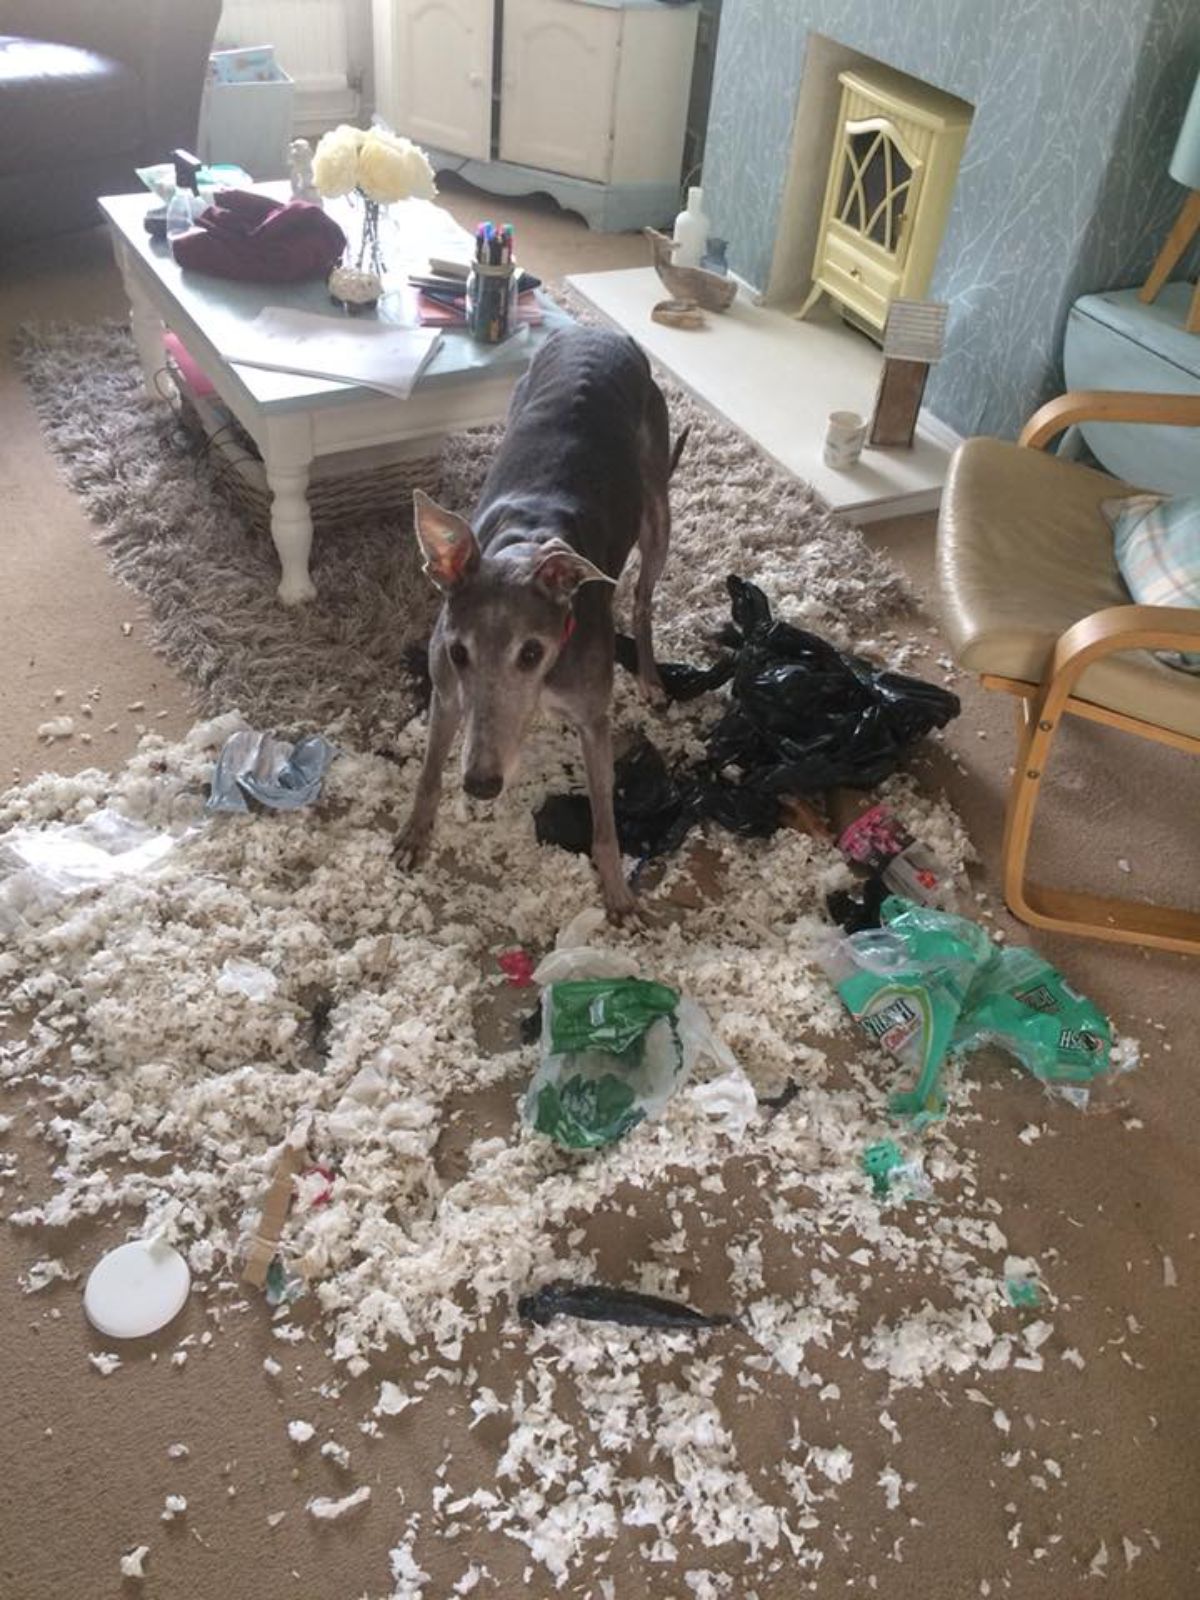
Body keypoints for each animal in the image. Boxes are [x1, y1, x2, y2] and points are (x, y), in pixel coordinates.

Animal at [396, 328, 684, 915]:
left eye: (531, 652)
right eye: (458, 652)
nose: (481, 785)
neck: (524, 543)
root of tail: (599, 331)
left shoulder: (594, 719)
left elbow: (605, 819)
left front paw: (618, 894)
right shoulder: (448, 693)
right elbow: (431, 771)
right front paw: (416, 834)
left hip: (657, 512)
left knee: (643, 600)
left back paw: (649, 676)